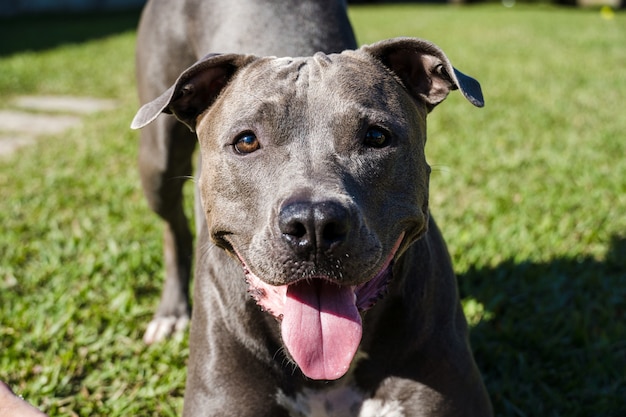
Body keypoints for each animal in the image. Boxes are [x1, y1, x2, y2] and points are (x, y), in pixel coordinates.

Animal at [133, 0, 492, 416]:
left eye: (376, 136)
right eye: (246, 141)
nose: (314, 223)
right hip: (157, 161)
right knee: (172, 225)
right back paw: (171, 313)